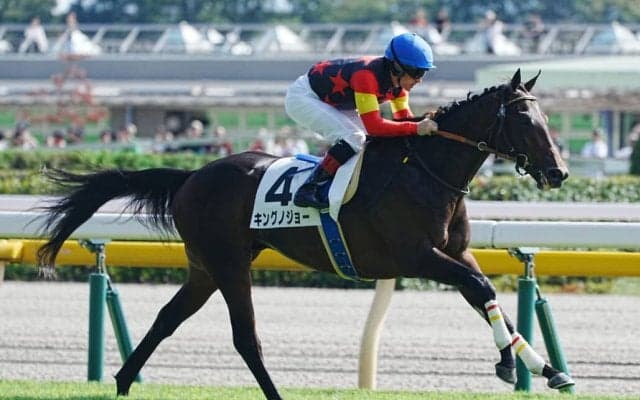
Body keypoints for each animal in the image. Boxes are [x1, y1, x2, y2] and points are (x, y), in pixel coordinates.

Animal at [36, 69, 572, 399]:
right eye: (524, 119)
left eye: (547, 117)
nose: (559, 173)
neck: (424, 169)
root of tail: (191, 176)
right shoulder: (415, 257)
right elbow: (480, 289)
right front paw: (518, 365)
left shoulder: (455, 253)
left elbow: (485, 294)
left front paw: (543, 368)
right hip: (229, 264)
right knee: (245, 337)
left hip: (205, 268)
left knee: (168, 318)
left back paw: (123, 382)